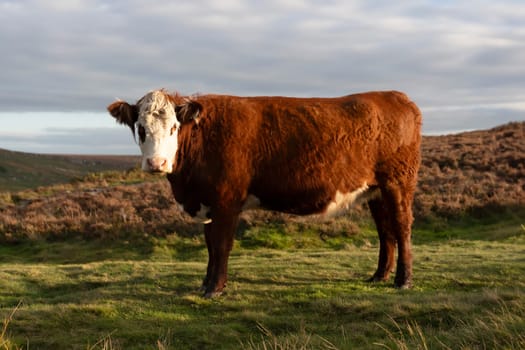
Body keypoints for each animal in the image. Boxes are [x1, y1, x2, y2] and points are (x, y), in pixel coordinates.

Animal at [106, 89, 422, 298]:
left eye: (173, 127)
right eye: (140, 128)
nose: (156, 163)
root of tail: (396, 96)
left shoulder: (226, 201)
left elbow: (221, 245)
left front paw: (215, 289)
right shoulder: (210, 203)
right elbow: (209, 245)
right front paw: (205, 284)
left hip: (398, 182)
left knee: (402, 227)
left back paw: (403, 280)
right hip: (376, 191)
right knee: (385, 232)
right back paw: (379, 276)